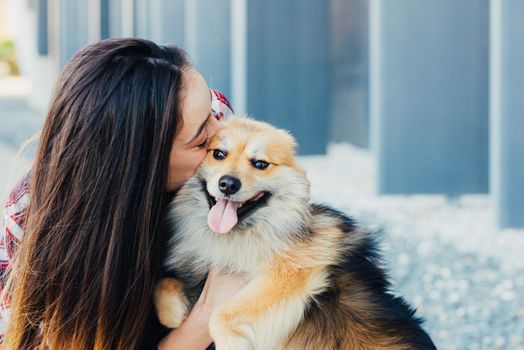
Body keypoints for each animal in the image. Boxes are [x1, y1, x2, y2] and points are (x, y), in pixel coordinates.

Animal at [155, 116, 434, 348]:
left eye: (260, 164)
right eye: (219, 154)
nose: (228, 184)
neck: (241, 233)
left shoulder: (292, 273)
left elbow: (220, 314)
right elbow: (163, 284)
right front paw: (175, 314)